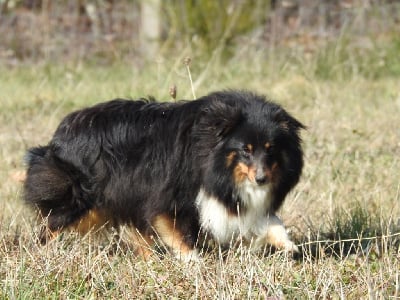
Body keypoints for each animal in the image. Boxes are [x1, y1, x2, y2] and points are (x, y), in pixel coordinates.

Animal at [23, 89, 304, 260]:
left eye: (271, 149)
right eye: (245, 150)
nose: (261, 180)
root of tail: (60, 135)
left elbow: (269, 220)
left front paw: (289, 246)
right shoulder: (172, 190)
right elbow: (176, 228)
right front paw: (194, 261)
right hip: (81, 193)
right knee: (53, 222)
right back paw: (38, 251)